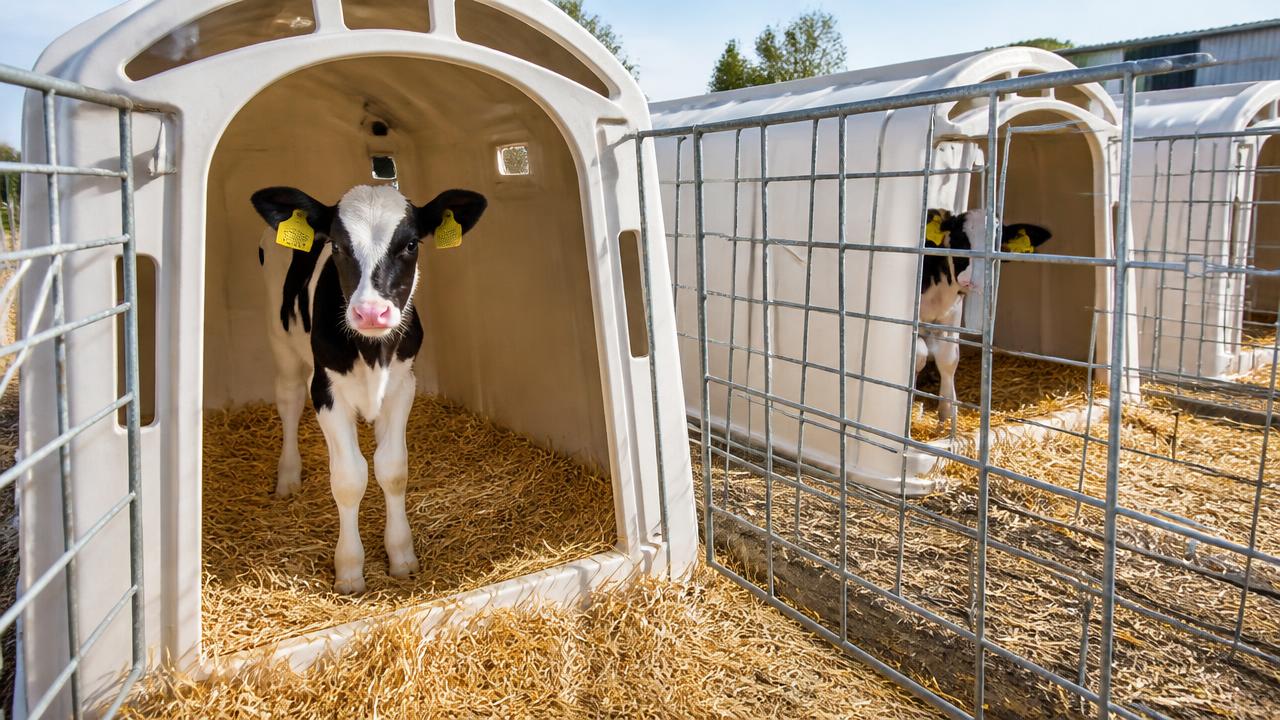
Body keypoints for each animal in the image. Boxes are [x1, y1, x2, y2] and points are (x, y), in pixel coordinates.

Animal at [251, 184, 488, 593]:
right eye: (337, 246)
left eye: (410, 244)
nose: (372, 312)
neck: (373, 351)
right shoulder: (326, 392)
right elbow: (349, 479)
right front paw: (349, 570)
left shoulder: (403, 386)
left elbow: (392, 470)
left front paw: (402, 556)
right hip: (280, 340)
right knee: (289, 400)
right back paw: (289, 476)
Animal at [915, 208, 1051, 420]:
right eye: (961, 239)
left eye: (996, 244)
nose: (975, 280)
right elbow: (918, 353)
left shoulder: (952, 312)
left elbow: (948, 359)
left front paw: (947, 413)